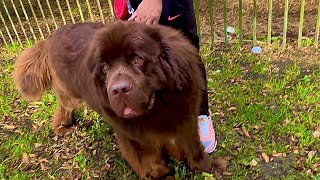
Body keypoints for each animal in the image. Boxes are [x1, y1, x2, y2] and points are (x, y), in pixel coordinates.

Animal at [13, 20, 228, 179]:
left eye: (137, 59)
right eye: (105, 67)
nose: (118, 89)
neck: (159, 106)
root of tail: (50, 37)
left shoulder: (185, 120)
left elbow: (194, 148)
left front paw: (210, 167)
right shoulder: (135, 139)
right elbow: (150, 164)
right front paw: (164, 175)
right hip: (70, 93)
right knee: (64, 106)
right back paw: (61, 126)